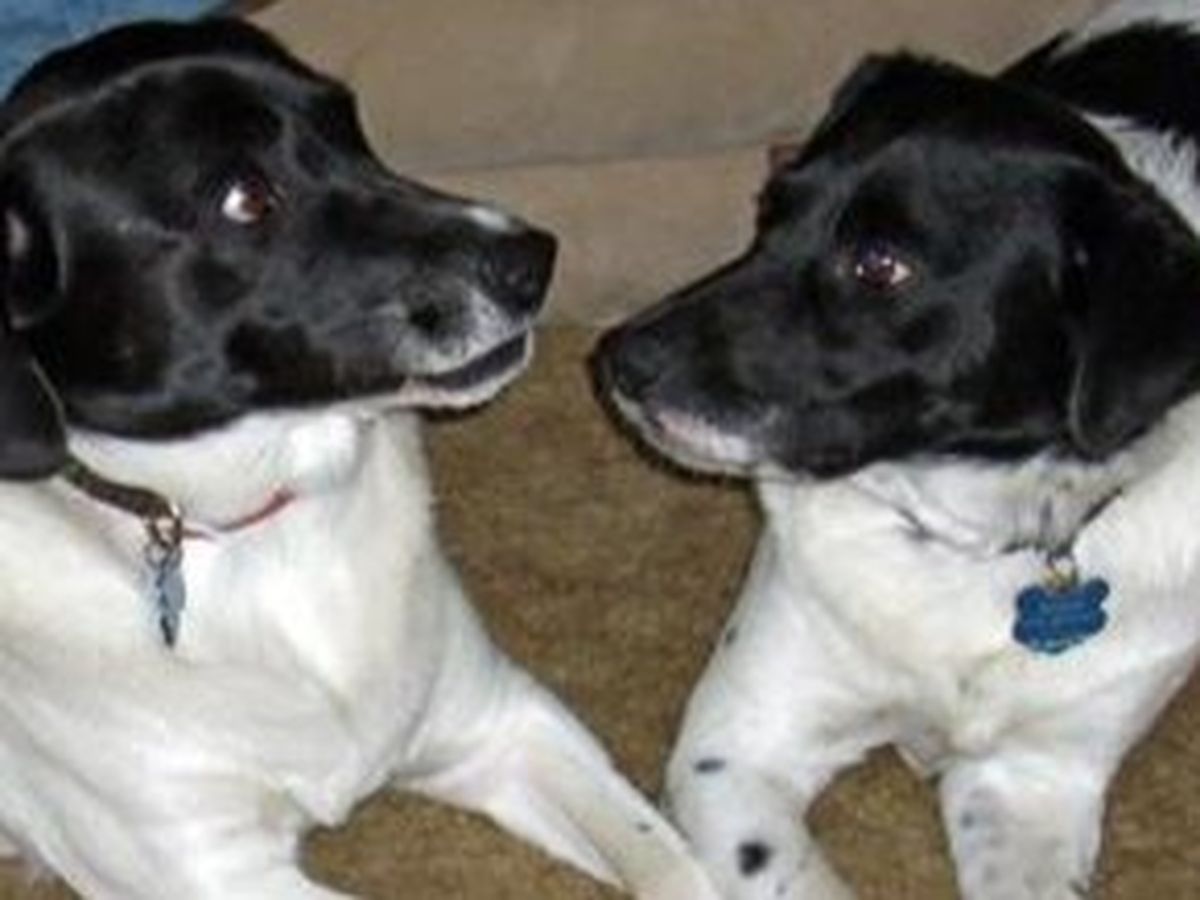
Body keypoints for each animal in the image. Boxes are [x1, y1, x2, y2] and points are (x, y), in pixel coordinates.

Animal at [0, 18, 719, 900]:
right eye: (245, 198)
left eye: (350, 128)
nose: (536, 257)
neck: (268, 524)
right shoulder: (213, 871)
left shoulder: (501, 724)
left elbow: (678, 864)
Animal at [595, 1, 1200, 896]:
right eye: (770, 207)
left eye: (881, 266)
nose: (619, 362)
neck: (964, 544)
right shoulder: (735, 755)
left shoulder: (1038, 781)